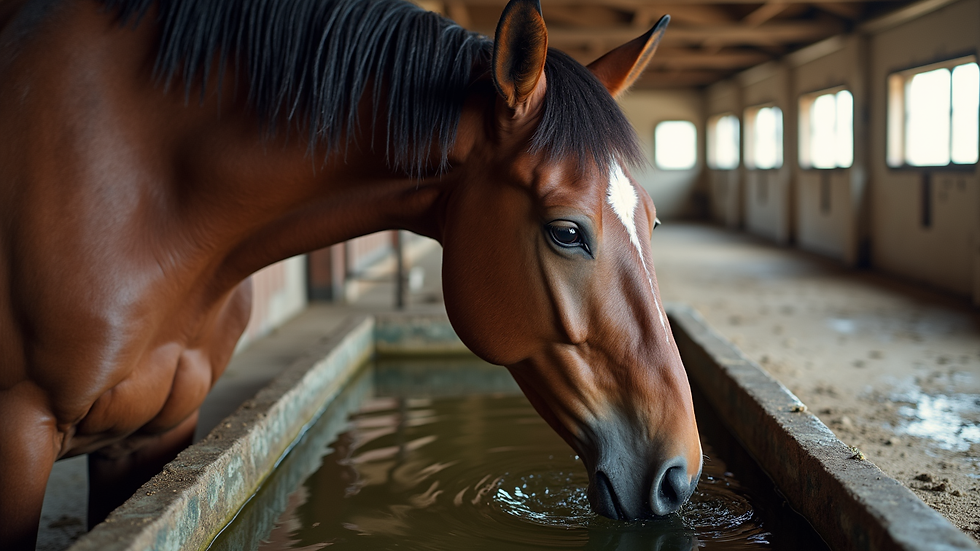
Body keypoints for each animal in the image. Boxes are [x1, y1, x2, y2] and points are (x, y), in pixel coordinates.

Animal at [0, 0, 701, 547]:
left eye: (653, 222)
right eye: (566, 232)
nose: (681, 474)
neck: (149, 197)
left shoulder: (155, 433)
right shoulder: (21, 433)